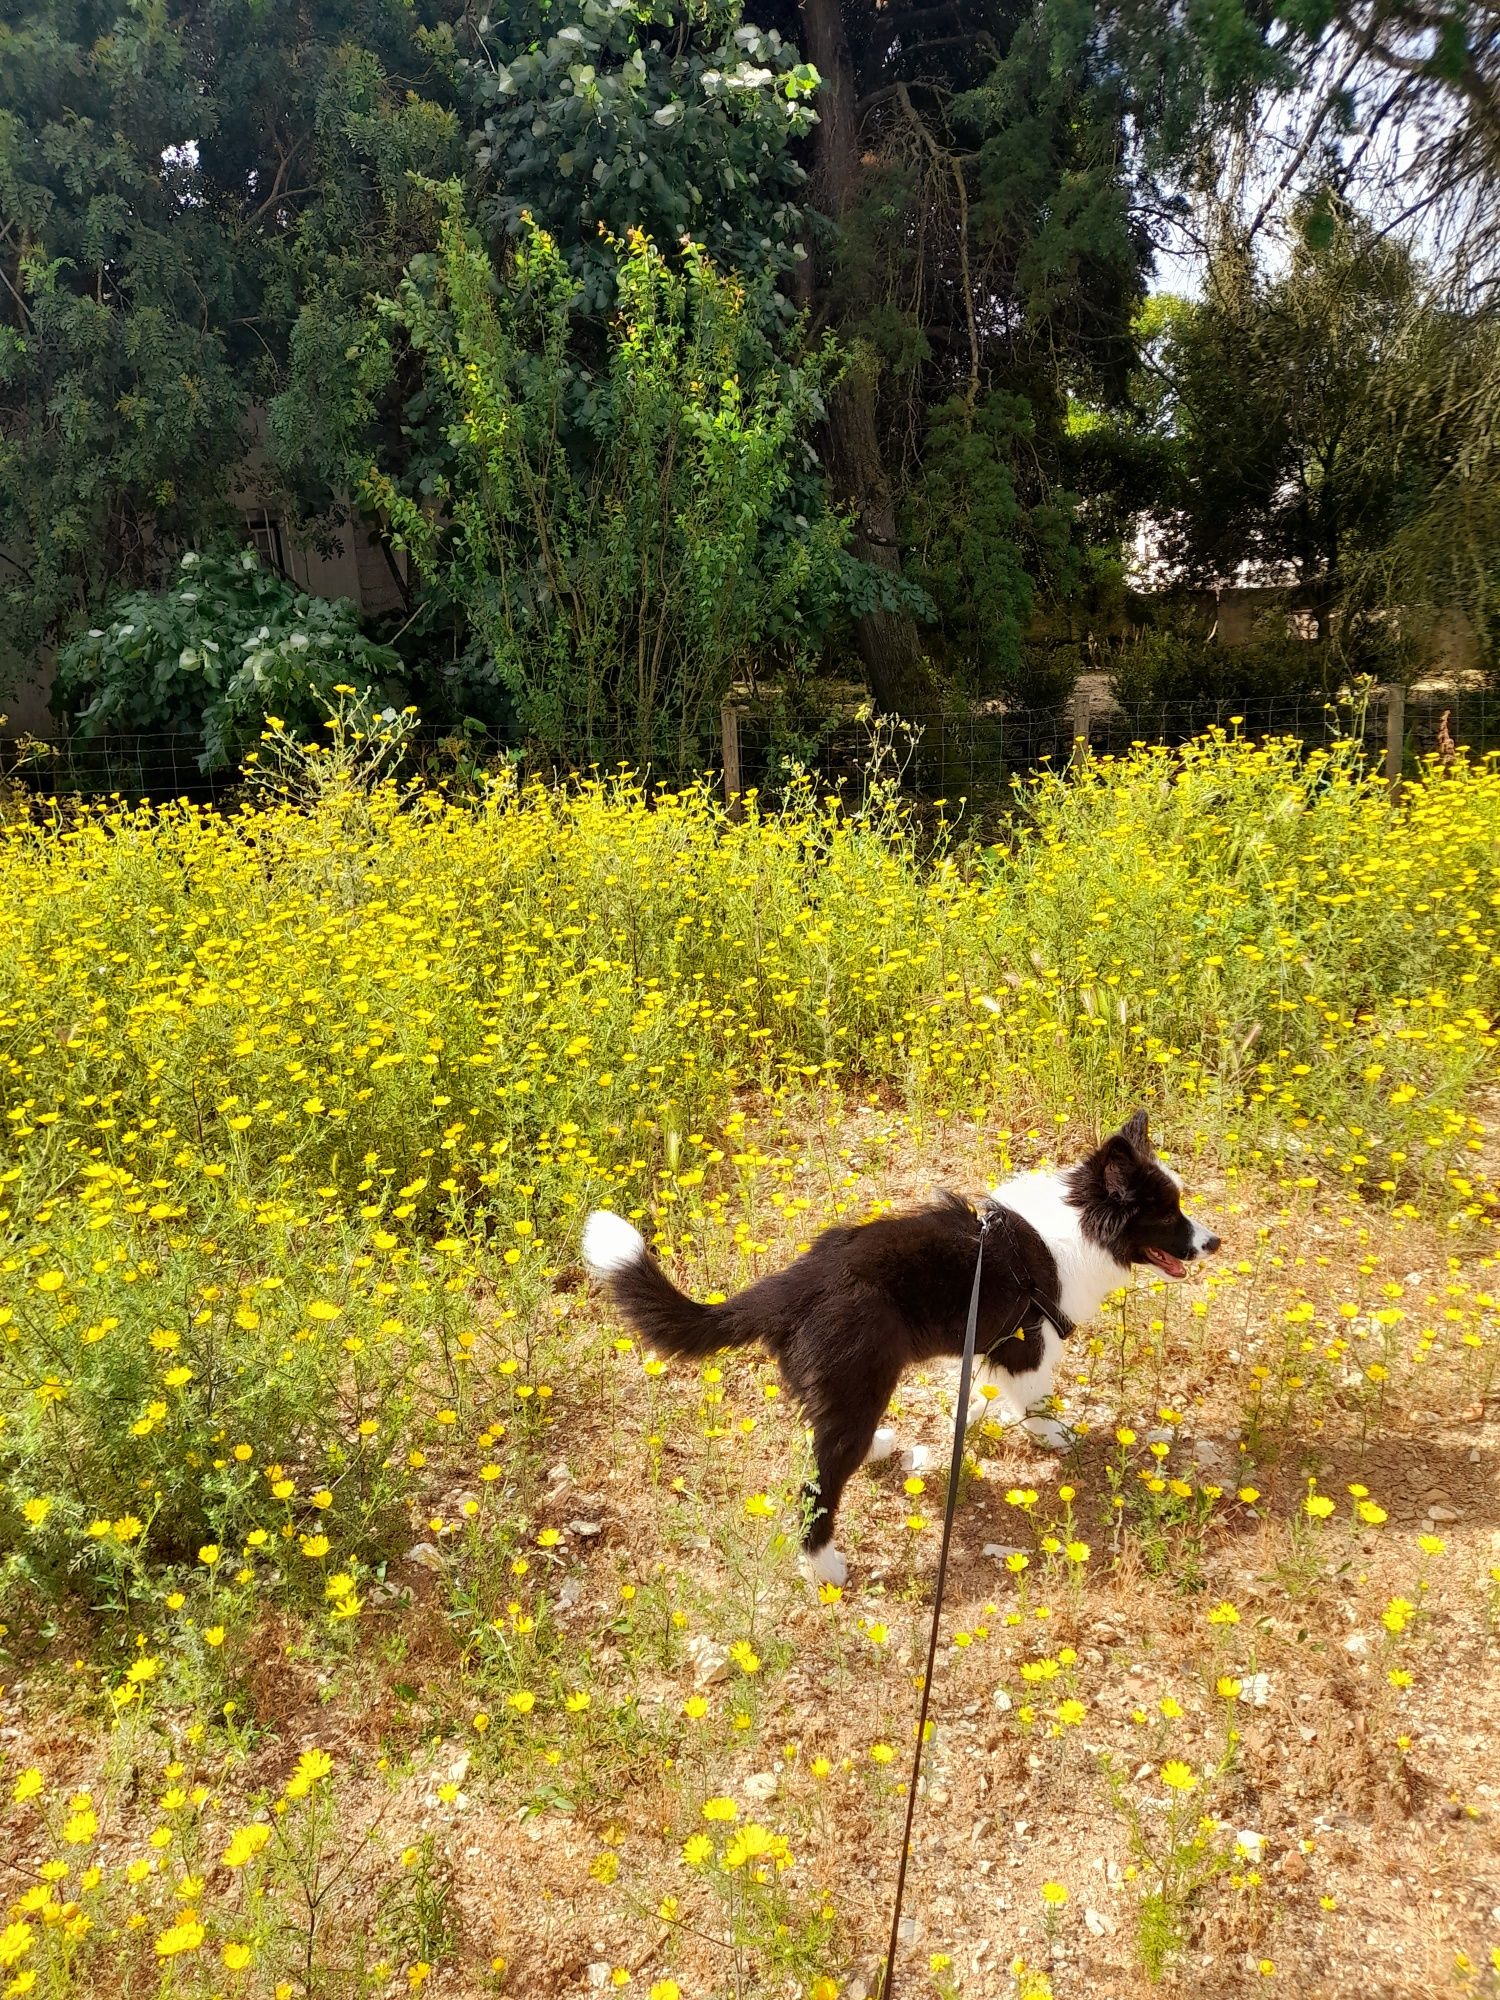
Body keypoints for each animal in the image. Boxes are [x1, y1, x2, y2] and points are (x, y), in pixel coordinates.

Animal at [580, 1112, 1224, 1576]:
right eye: (1168, 1215)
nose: (1213, 1242)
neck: (1078, 1223)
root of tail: (791, 1286)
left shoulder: (989, 1344)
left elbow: (985, 1395)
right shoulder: (1027, 1340)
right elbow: (1035, 1399)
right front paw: (1051, 1434)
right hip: (859, 1384)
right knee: (818, 1485)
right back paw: (823, 1567)